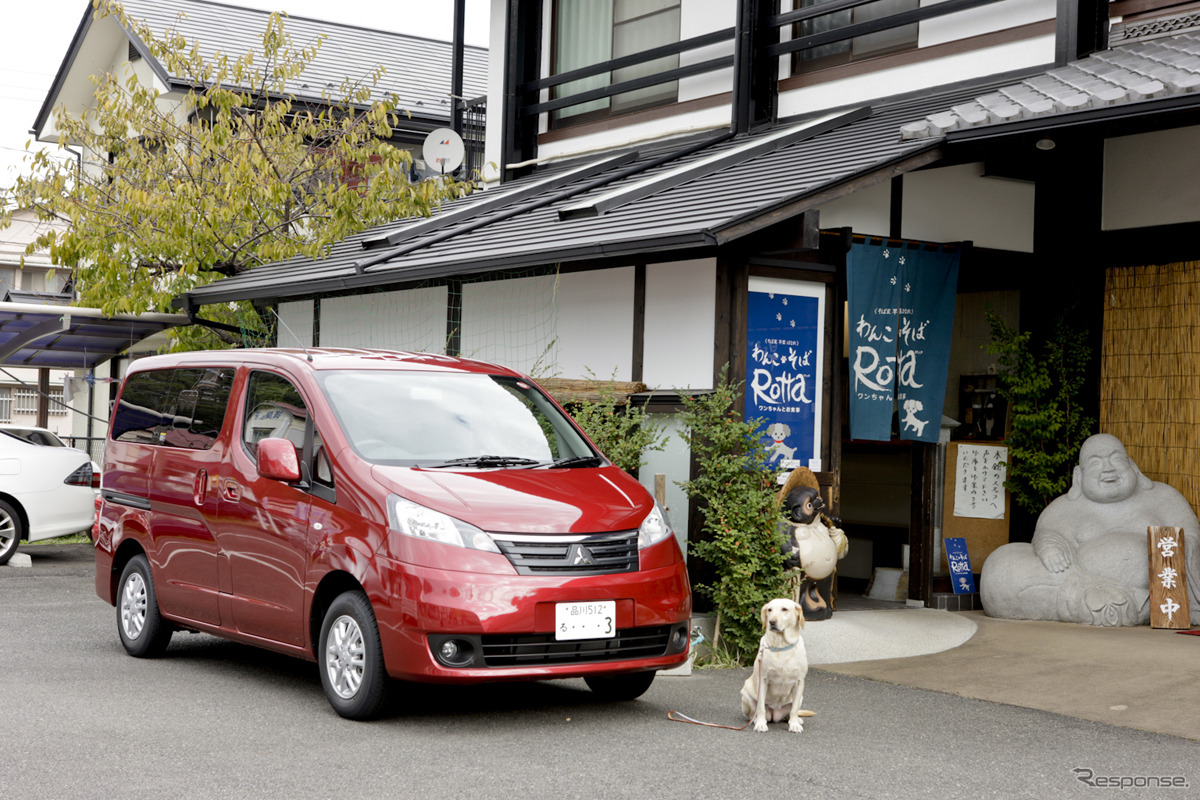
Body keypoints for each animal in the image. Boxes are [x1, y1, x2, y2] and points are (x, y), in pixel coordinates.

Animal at [739, 597, 816, 734]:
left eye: (784, 609)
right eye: (769, 610)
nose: (772, 621)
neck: (781, 645)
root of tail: (774, 714)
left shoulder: (799, 682)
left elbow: (794, 710)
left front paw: (794, 725)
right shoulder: (763, 680)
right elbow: (761, 708)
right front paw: (760, 724)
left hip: (801, 697)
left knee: (791, 712)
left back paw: (795, 720)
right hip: (745, 694)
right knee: (754, 713)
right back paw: (756, 720)